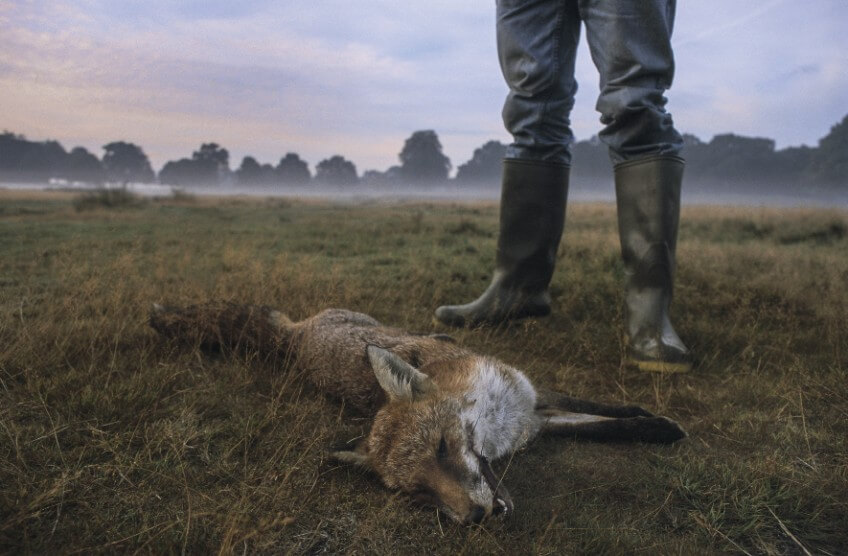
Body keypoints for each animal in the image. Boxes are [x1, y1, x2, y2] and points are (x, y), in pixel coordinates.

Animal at [149, 302, 686, 525]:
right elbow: (599, 426)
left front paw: (659, 423)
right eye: (418, 492)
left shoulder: (534, 403)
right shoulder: (538, 421)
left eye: (446, 448)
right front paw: (657, 426)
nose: (474, 517)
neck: (504, 425)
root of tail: (295, 338)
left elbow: (603, 413)